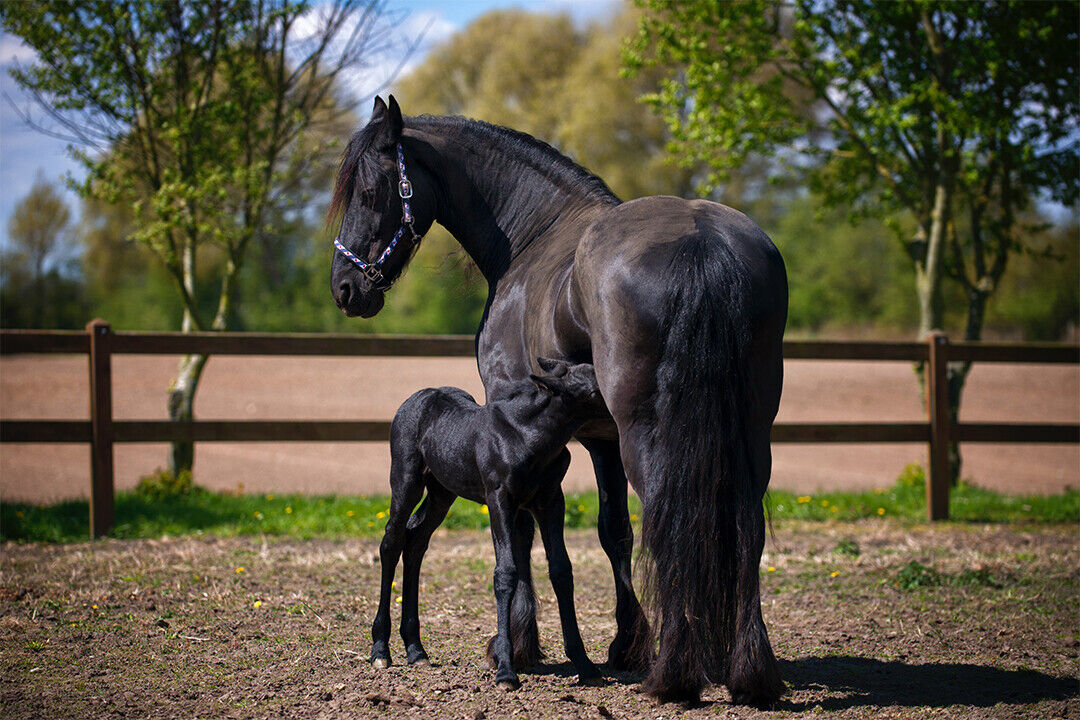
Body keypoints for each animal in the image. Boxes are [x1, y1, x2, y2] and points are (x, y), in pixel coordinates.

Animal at [372, 359, 607, 688]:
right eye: (594, 391)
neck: (528, 436)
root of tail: (415, 399)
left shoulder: (551, 500)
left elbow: (561, 570)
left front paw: (584, 663)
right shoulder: (499, 498)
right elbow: (505, 573)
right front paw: (506, 670)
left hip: (442, 492)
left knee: (415, 541)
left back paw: (416, 649)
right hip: (406, 480)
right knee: (391, 542)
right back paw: (380, 650)